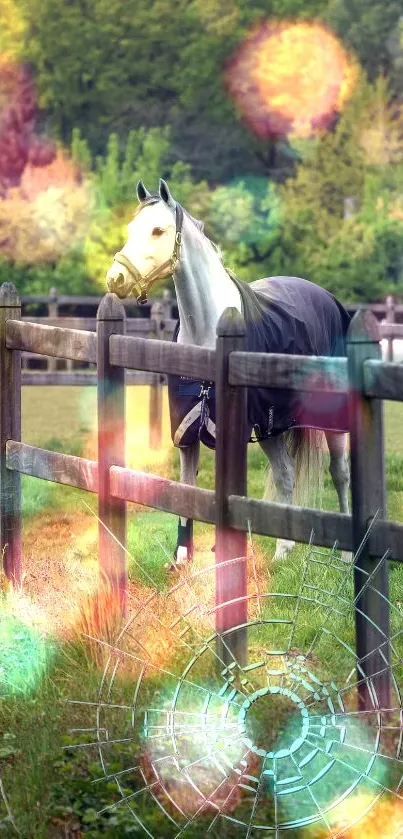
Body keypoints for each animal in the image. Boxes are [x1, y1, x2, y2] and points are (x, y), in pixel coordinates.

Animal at [105, 180, 356, 568]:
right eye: (132, 229)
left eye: (158, 230)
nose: (115, 279)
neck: (207, 333)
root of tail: (327, 297)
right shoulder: (187, 431)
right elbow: (186, 488)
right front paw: (182, 556)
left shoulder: (234, 431)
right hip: (270, 427)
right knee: (285, 474)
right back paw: (283, 550)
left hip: (329, 419)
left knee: (339, 473)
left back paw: (346, 553)